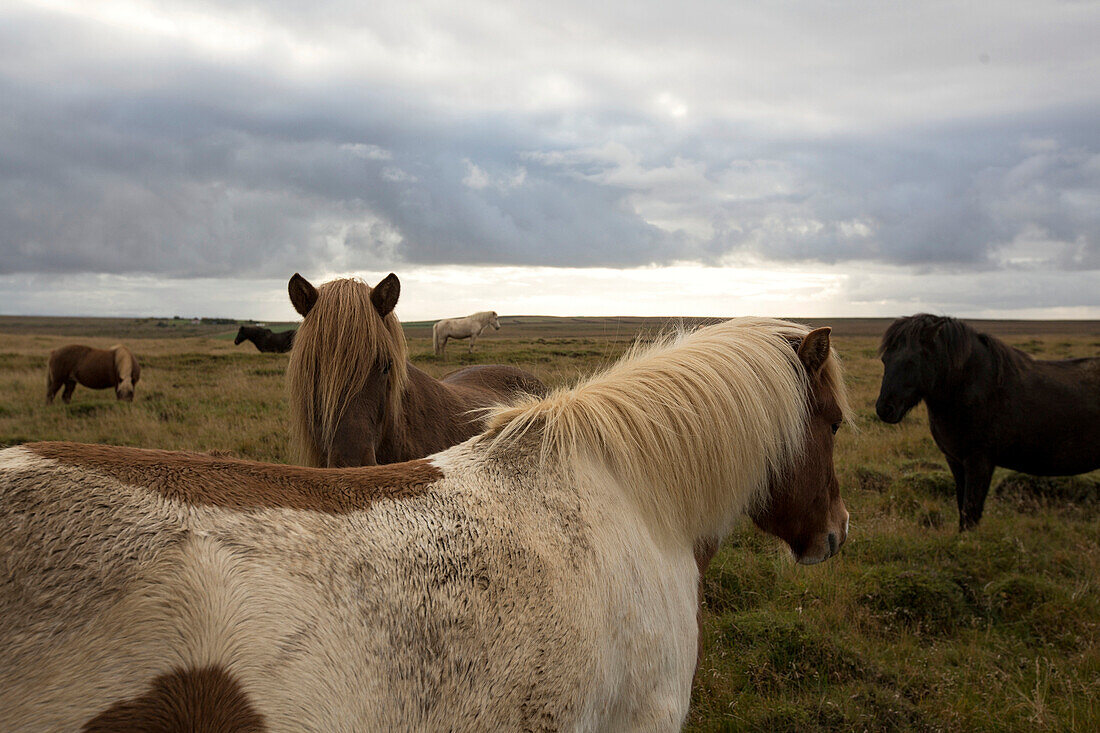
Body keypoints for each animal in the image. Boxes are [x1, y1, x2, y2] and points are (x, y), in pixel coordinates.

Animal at [875, 310, 1100, 528]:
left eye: (911, 362)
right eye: (885, 360)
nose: (884, 409)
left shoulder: (980, 462)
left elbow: (971, 512)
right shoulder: (956, 461)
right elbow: (963, 508)